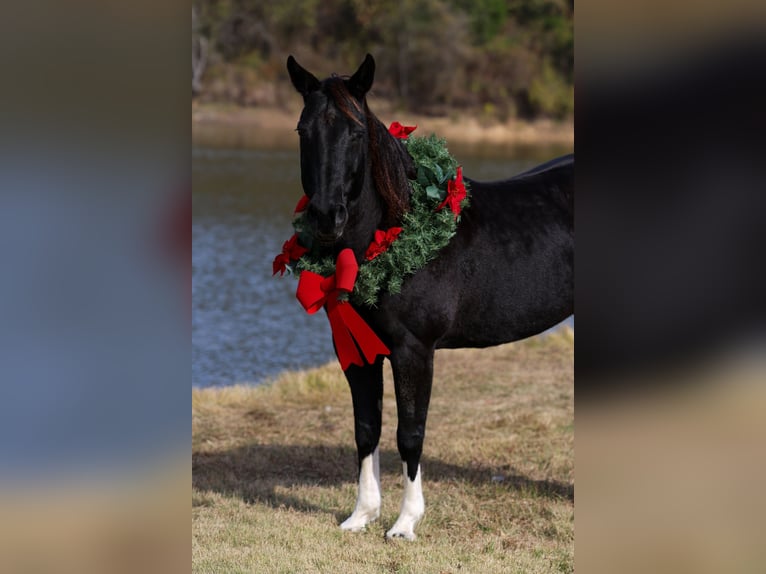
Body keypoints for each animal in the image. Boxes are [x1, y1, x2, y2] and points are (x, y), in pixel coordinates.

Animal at [285, 53, 573, 540]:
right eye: (304, 131)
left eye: (356, 132)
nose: (326, 216)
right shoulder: (356, 351)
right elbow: (367, 428)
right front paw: (361, 515)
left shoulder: (413, 350)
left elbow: (410, 434)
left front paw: (405, 523)